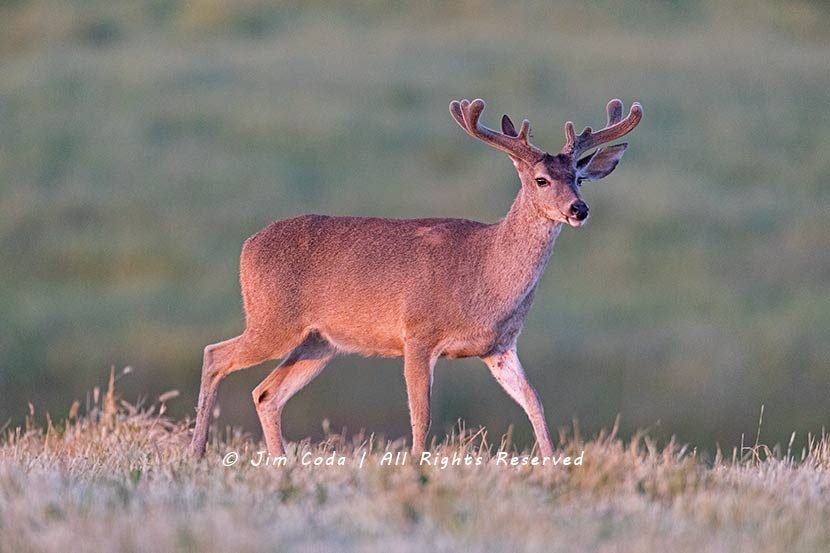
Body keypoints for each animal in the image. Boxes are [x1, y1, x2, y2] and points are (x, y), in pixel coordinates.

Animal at [190, 97, 642, 459]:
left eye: (578, 178)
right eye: (541, 179)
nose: (578, 209)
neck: (484, 274)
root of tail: (247, 246)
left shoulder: (500, 346)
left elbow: (534, 402)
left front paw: (552, 466)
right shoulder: (417, 334)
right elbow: (421, 416)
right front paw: (415, 467)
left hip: (318, 341)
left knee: (265, 393)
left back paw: (280, 463)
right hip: (273, 320)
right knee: (216, 355)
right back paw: (197, 452)